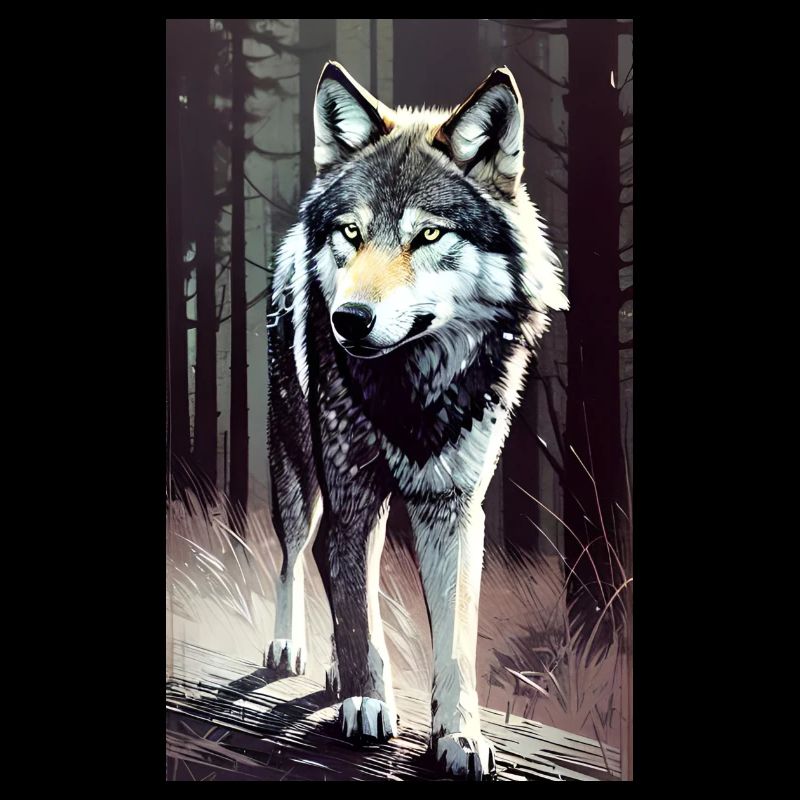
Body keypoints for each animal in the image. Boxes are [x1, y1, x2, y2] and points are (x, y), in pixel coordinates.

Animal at [265, 61, 567, 780]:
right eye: (351, 233)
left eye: (428, 234)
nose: (348, 320)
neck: (412, 388)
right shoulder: (351, 493)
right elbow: (356, 606)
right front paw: (366, 703)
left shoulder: (453, 509)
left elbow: (453, 642)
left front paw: (460, 738)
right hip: (298, 472)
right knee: (299, 555)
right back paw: (293, 650)